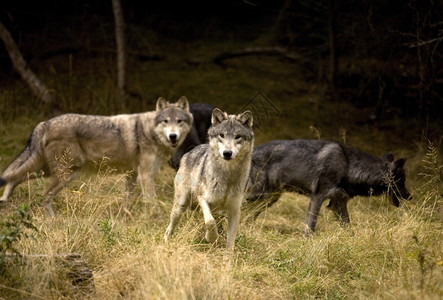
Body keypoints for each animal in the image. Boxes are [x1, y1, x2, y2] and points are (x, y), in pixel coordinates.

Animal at [0, 97, 194, 217]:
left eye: (179, 121)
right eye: (166, 122)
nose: (173, 136)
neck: (149, 131)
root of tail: (44, 123)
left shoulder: (131, 174)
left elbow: (126, 200)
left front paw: (125, 218)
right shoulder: (145, 175)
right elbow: (151, 200)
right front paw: (155, 218)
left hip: (48, 171)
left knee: (14, 178)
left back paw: (4, 200)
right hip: (66, 174)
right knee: (44, 196)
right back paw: (52, 220)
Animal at [164, 108, 255, 251]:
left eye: (238, 136)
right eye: (222, 135)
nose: (227, 153)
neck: (227, 177)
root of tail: (191, 150)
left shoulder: (235, 210)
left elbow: (230, 243)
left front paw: (227, 257)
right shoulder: (202, 198)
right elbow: (210, 221)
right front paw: (211, 238)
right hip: (180, 206)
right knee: (170, 227)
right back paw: (166, 243)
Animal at [245, 139, 412, 236]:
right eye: (402, 181)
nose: (410, 196)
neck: (348, 166)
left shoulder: (337, 203)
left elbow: (348, 227)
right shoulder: (317, 197)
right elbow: (311, 226)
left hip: (269, 199)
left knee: (249, 215)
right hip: (259, 195)